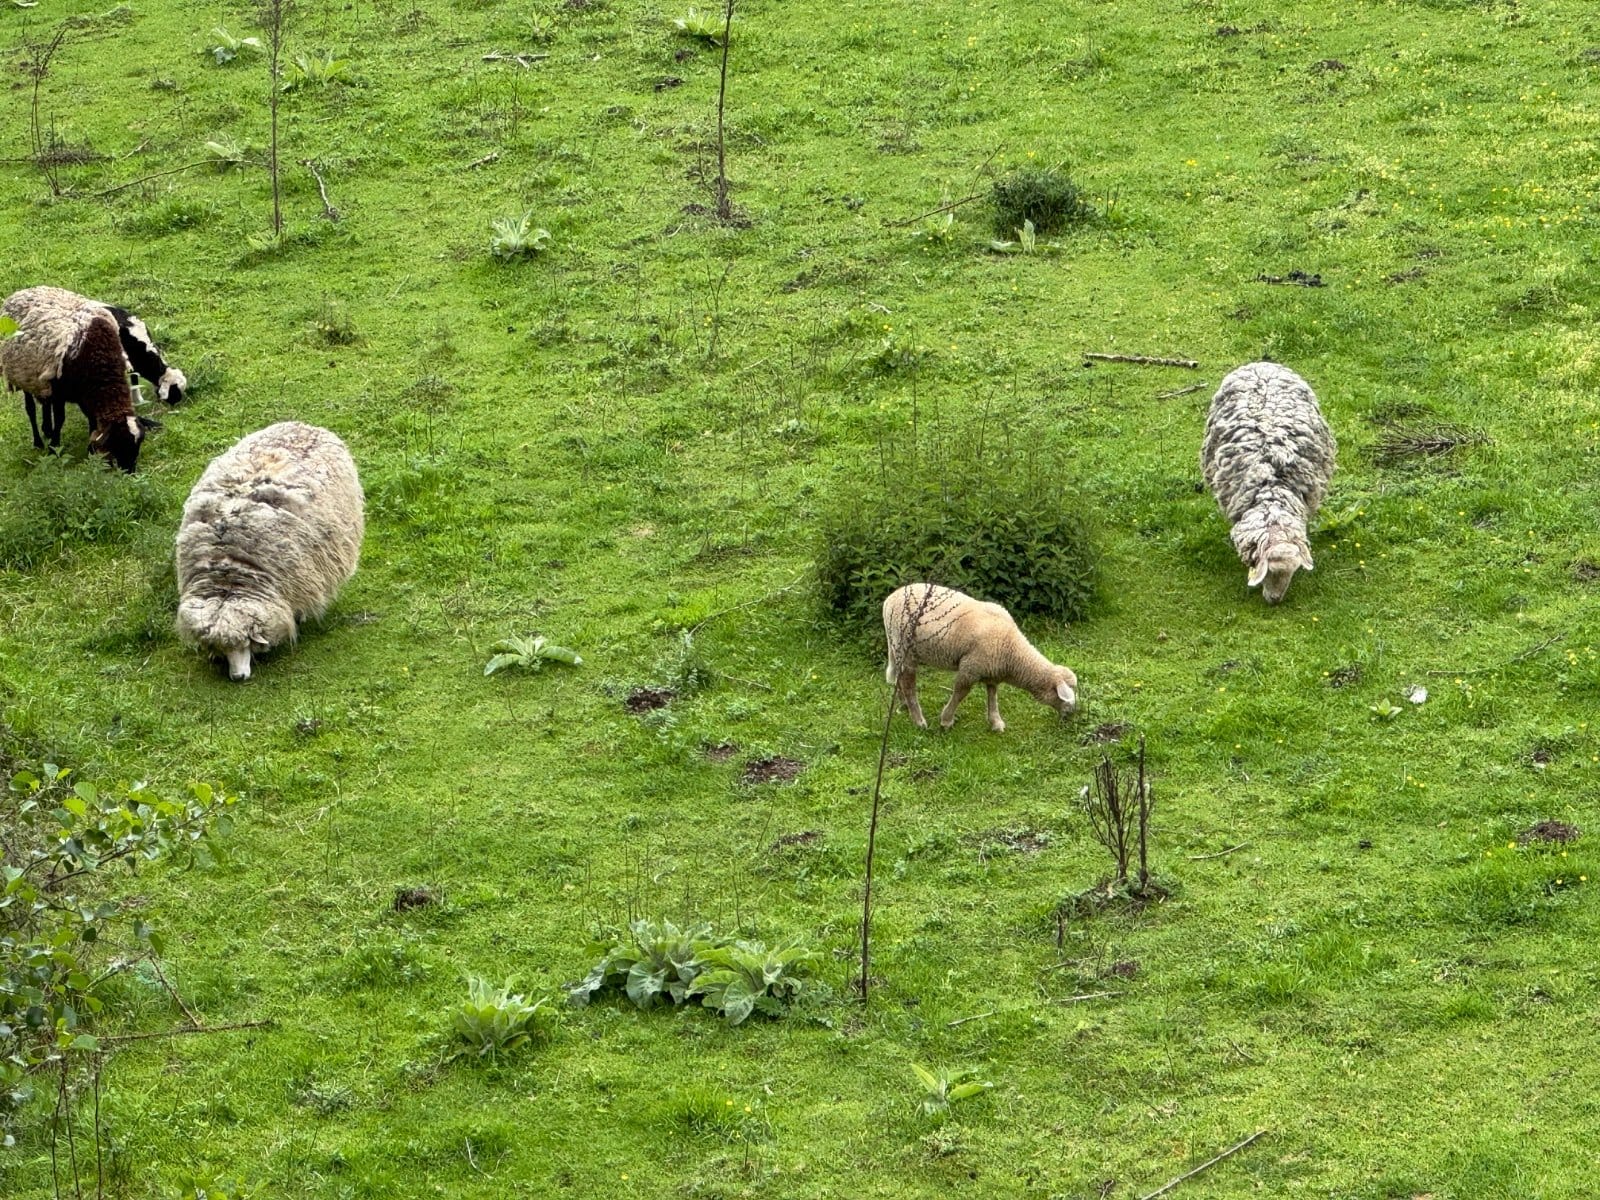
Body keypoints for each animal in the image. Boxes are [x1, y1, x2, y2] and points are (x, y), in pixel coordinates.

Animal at [1, 288, 155, 472]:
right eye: (120, 442)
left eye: (138, 444)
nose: (129, 471)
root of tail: (21, 292)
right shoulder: (61, 392)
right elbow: (60, 419)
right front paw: (54, 448)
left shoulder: (85, 392)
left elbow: (91, 419)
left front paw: (90, 451)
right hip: (23, 376)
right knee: (30, 409)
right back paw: (38, 441)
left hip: (42, 381)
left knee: (45, 402)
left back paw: (47, 429)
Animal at [883, 583, 1078, 732]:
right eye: (1065, 694)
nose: (1072, 715)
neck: (1013, 652)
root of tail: (889, 600)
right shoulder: (970, 668)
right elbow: (960, 693)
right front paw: (946, 720)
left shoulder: (992, 669)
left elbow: (992, 695)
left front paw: (996, 722)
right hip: (905, 649)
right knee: (908, 684)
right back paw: (918, 720)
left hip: (897, 648)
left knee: (900, 679)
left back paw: (903, 706)